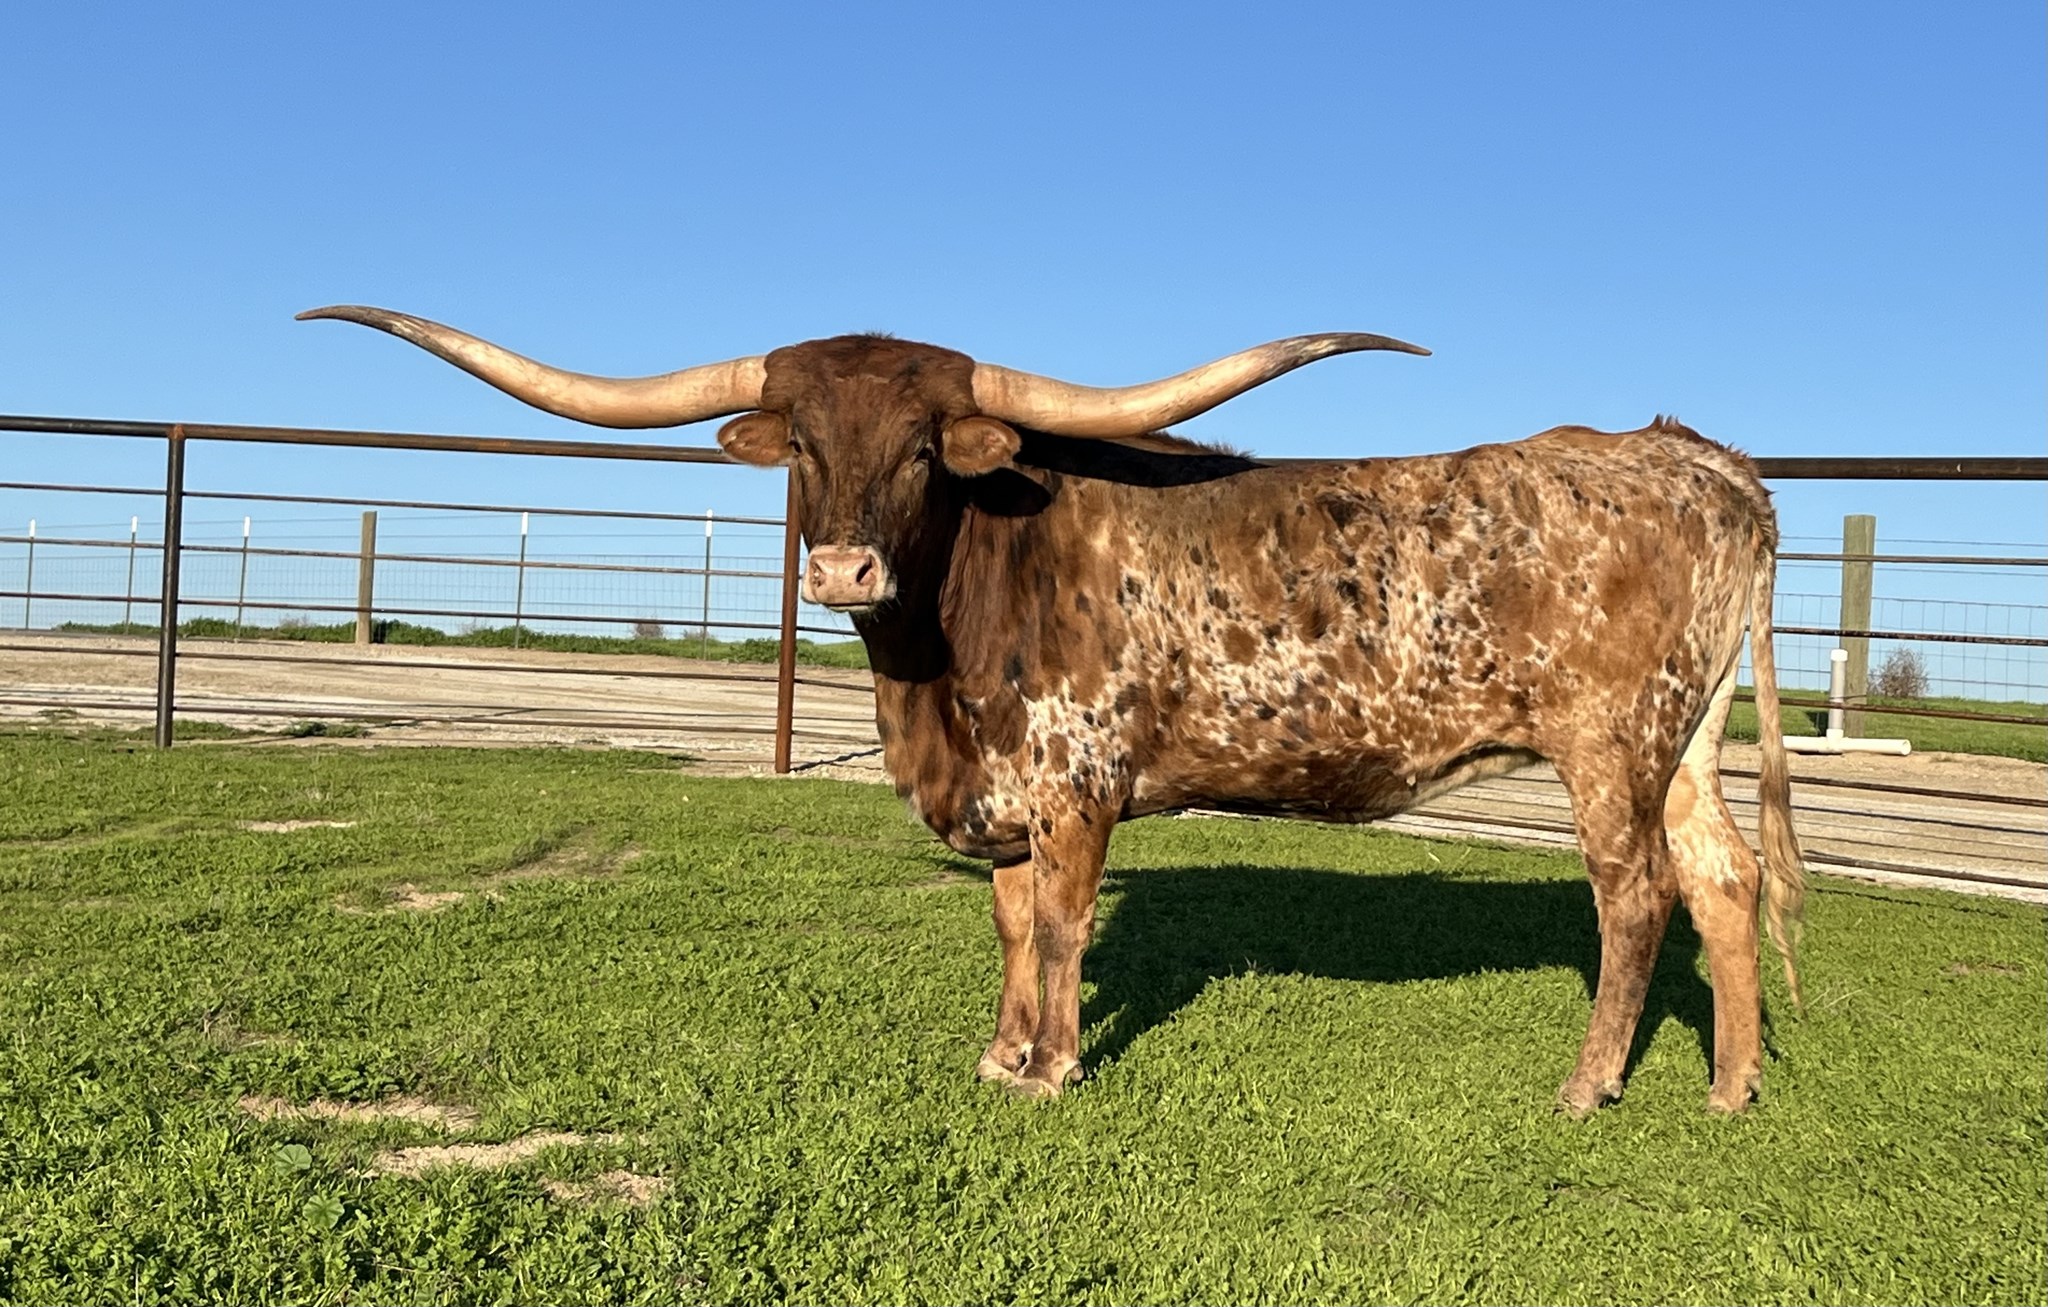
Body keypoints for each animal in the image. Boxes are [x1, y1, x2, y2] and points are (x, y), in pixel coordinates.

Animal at [300, 305, 1806, 1114]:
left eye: (924, 447)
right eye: (803, 442)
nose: (839, 568)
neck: (938, 670)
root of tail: (1699, 456)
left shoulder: (1081, 782)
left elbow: (1070, 922)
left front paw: (1056, 1066)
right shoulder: (1006, 797)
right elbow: (1014, 924)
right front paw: (1002, 1047)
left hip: (1605, 741)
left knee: (1635, 893)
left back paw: (1590, 1083)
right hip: (1684, 740)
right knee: (1724, 879)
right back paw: (1731, 1084)